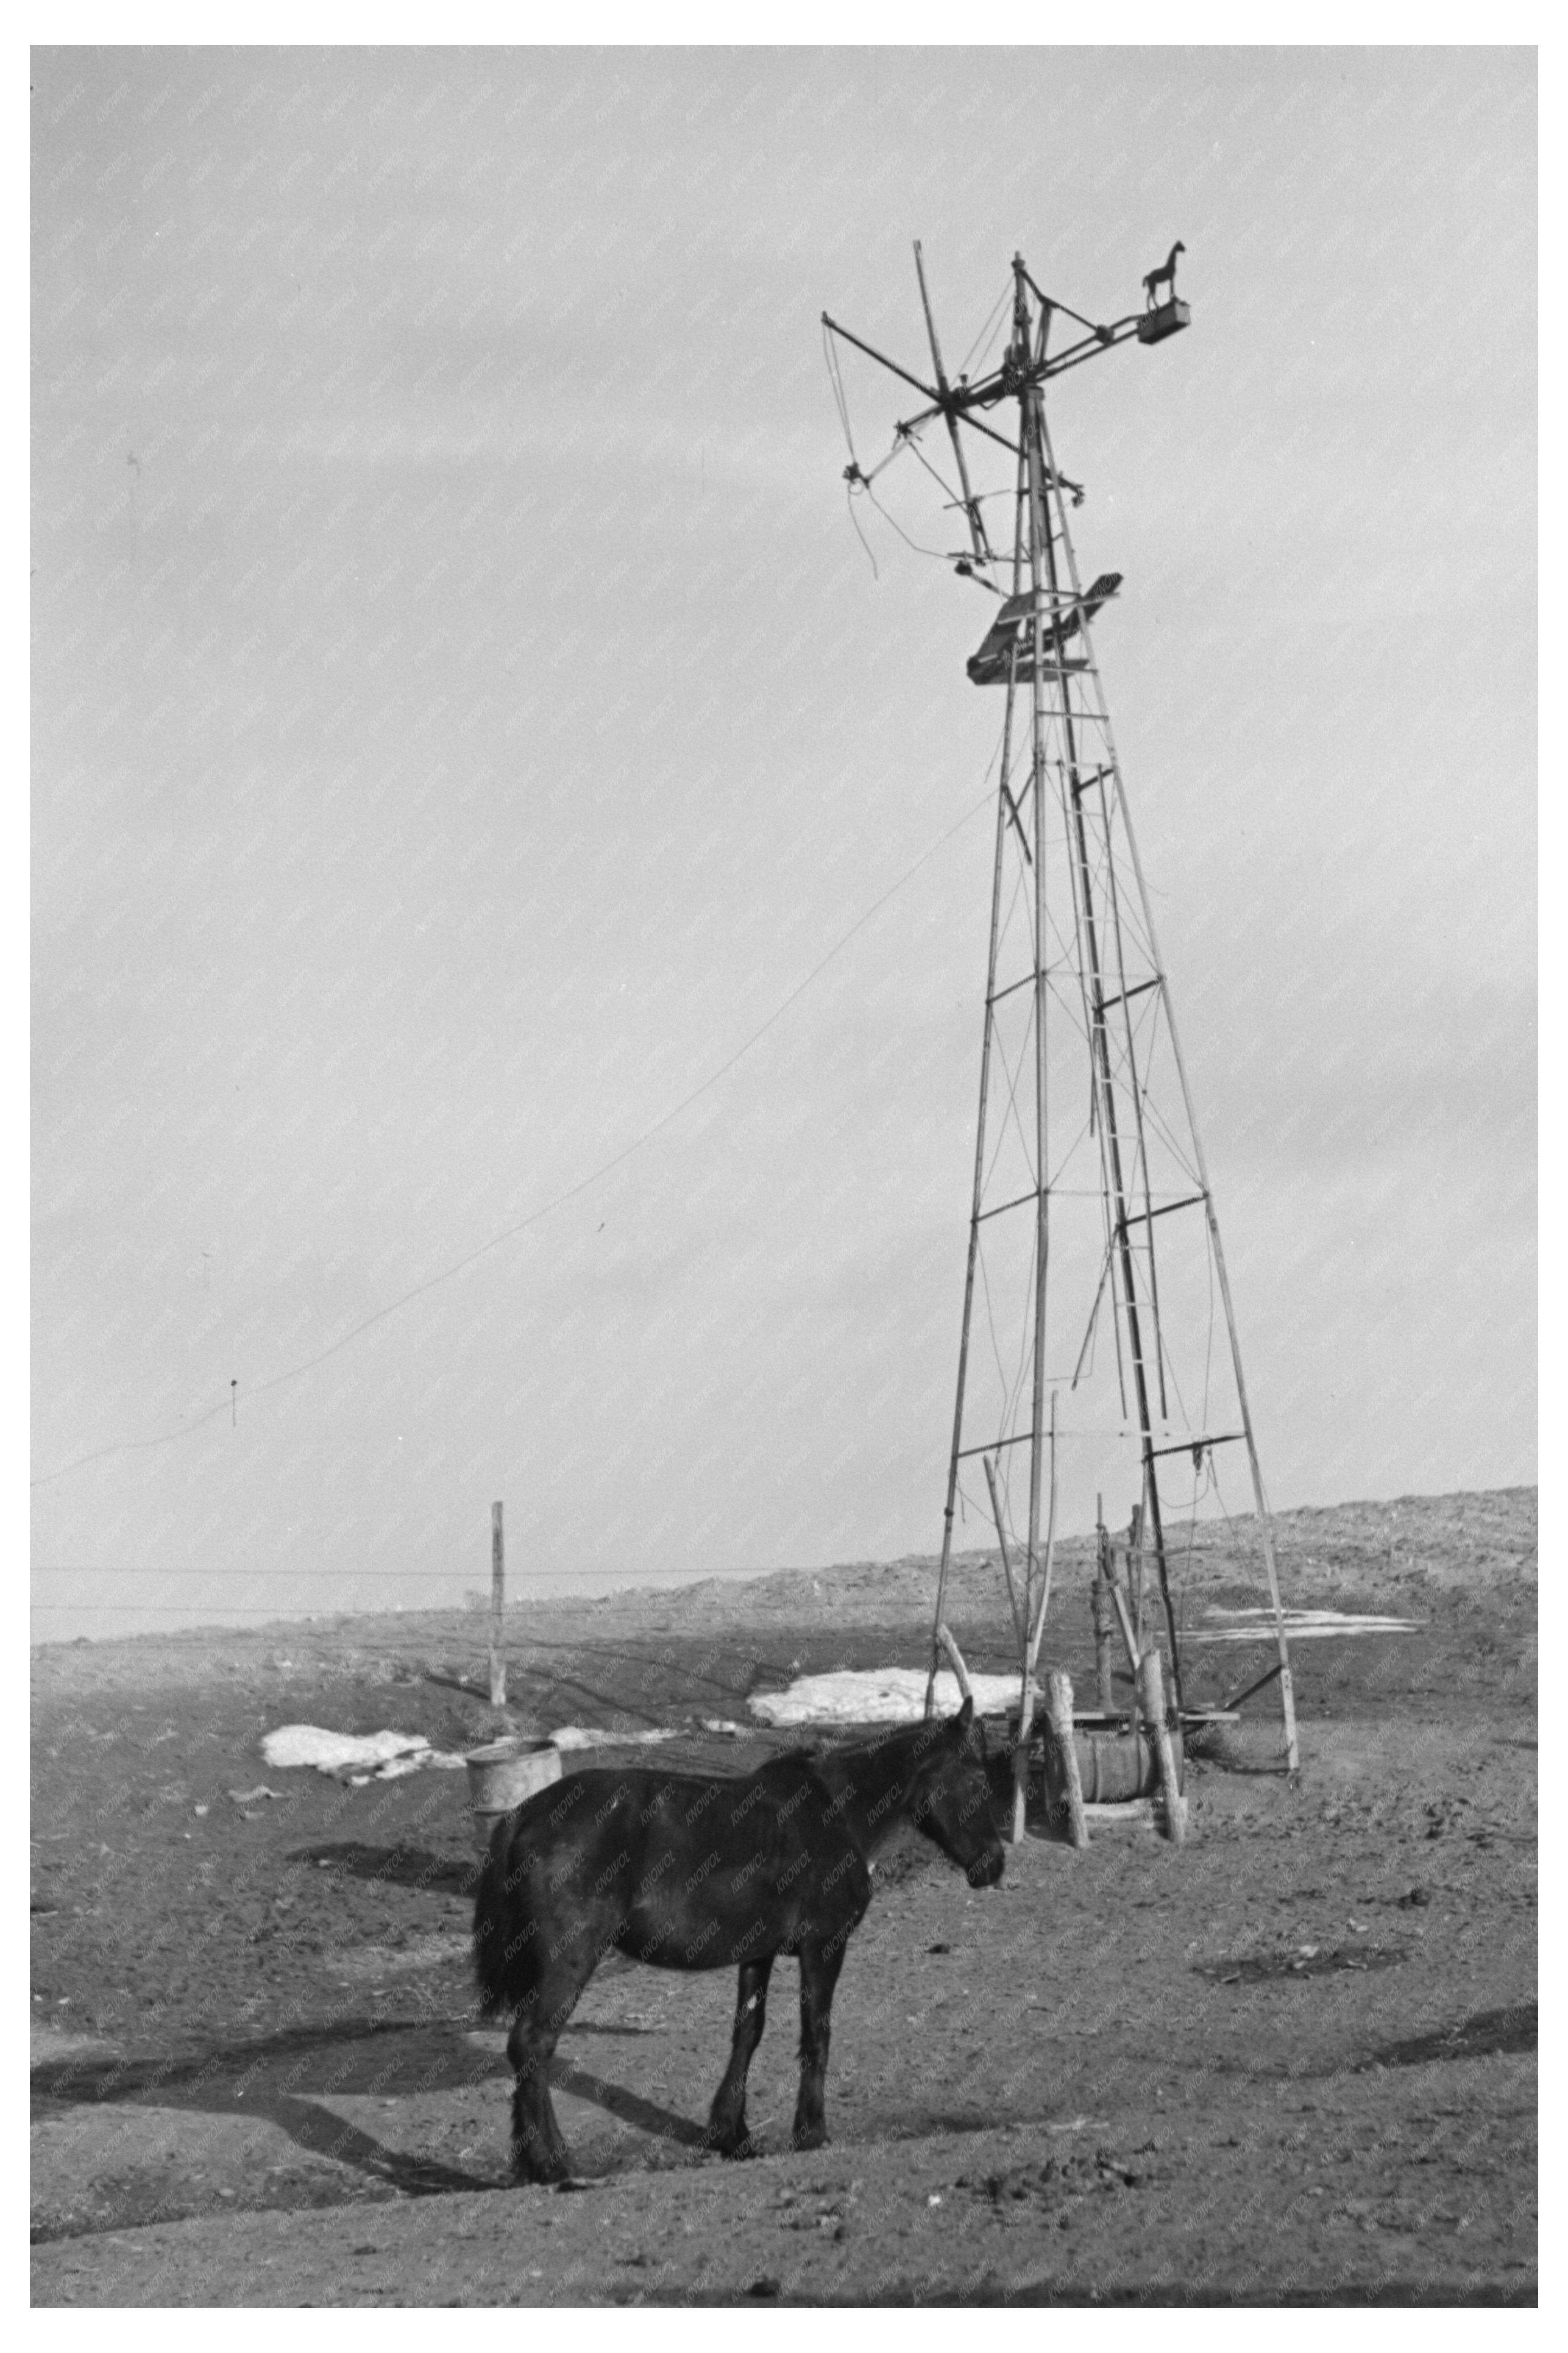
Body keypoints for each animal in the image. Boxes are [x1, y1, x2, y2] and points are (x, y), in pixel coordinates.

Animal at [472, 1703, 1006, 2174]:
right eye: (978, 1779)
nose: (995, 1865)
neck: (836, 1811)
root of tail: (522, 1816)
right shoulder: (823, 1946)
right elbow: (816, 2033)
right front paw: (811, 2133)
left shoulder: (759, 1953)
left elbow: (748, 2033)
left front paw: (732, 2135)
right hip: (571, 1957)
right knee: (533, 2044)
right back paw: (554, 2164)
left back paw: (530, 2163)